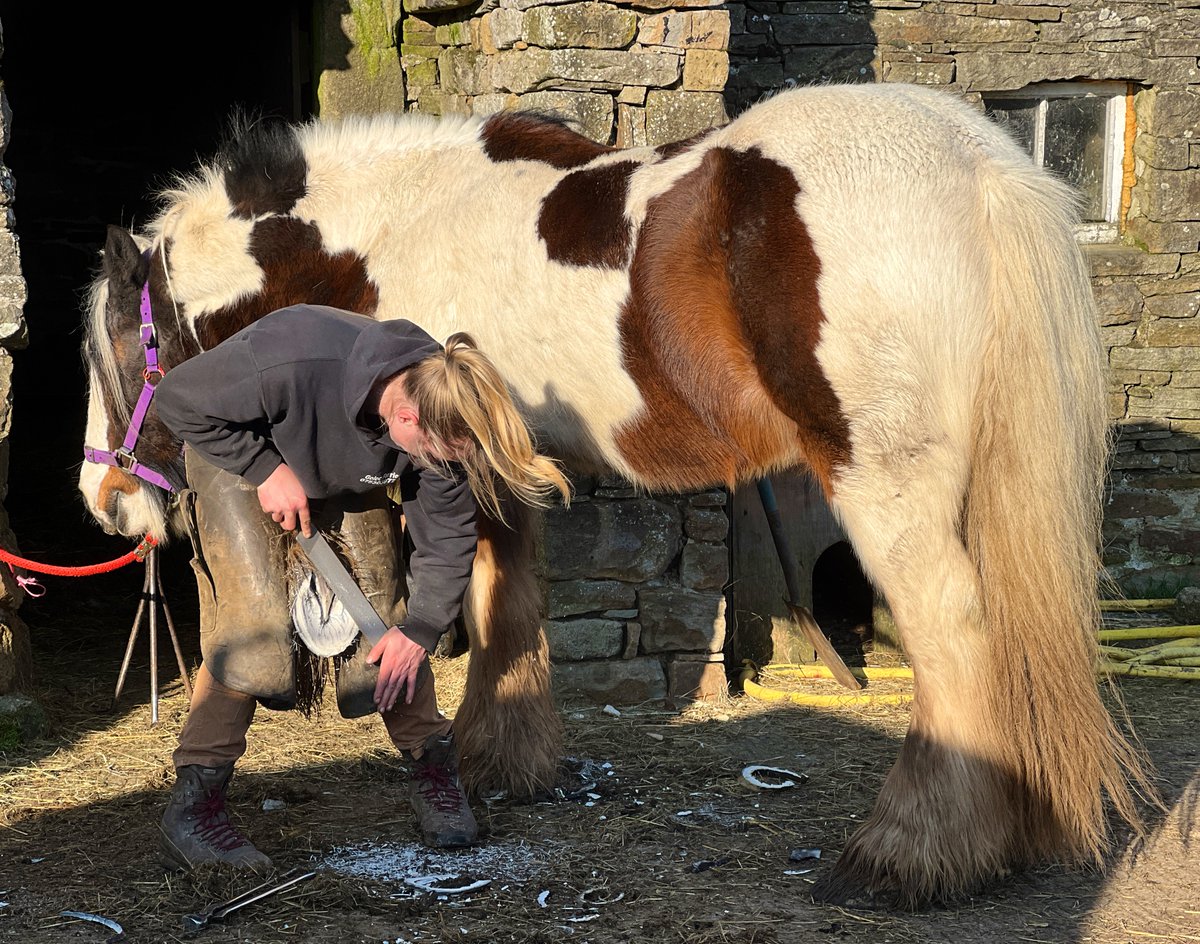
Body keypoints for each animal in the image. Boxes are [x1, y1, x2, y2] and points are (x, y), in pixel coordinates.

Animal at [77, 81, 1154, 908]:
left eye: (117, 345)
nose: (105, 500)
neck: (402, 223)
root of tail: (980, 165)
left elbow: (490, 607)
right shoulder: (503, 466)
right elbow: (513, 607)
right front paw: (509, 764)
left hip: (886, 485)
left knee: (956, 639)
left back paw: (906, 855)